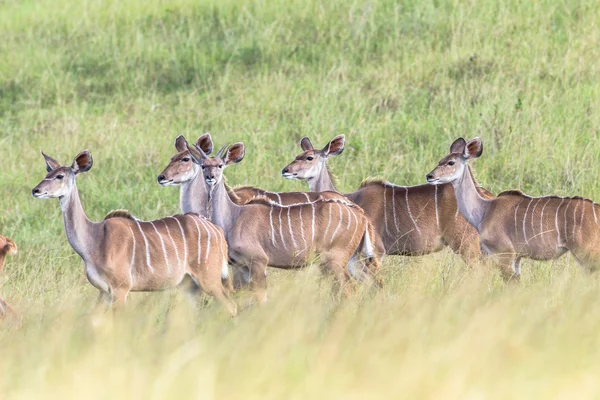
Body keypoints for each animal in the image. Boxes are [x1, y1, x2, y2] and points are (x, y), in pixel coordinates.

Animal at [31, 150, 236, 316]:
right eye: (47, 173)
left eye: (59, 176)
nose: (36, 190)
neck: (94, 240)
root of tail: (217, 231)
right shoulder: (103, 291)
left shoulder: (121, 289)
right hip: (189, 286)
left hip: (209, 280)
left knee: (231, 307)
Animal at [184, 141, 380, 304]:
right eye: (203, 166)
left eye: (220, 165)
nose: (210, 177)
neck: (232, 218)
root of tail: (362, 216)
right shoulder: (241, 266)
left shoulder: (258, 262)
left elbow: (261, 299)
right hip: (349, 259)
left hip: (335, 260)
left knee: (350, 289)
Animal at [282, 134, 492, 262]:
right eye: (297, 155)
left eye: (309, 158)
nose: (285, 170)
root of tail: (486, 195)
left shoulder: (376, 251)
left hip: (467, 245)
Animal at [424, 138, 600, 282]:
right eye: (440, 160)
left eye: (451, 162)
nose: (429, 176)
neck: (484, 210)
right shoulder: (516, 258)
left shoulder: (505, 254)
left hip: (587, 252)